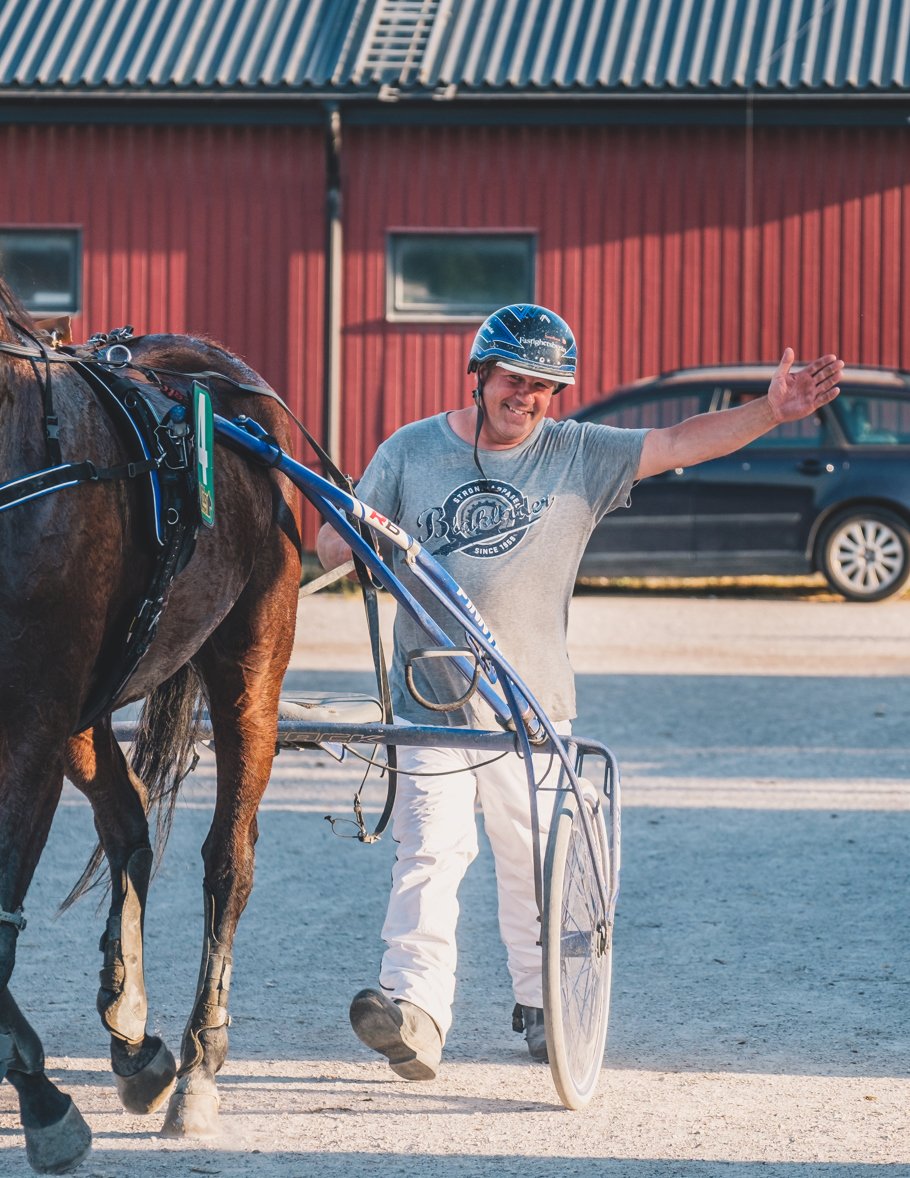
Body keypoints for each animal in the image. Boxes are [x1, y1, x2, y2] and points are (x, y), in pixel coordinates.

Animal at [0, 280, 306, 1173]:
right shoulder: (49, 714)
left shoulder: (30, 723)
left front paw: (45, 1105)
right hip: (88, 705)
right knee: (129, 818)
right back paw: (135, 1036)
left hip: (249, 667)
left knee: (228, 860)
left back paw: (198, 1065)